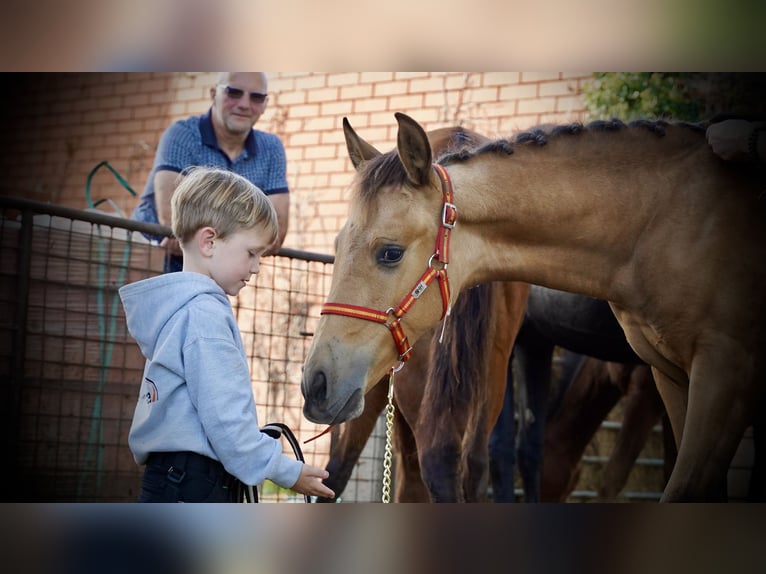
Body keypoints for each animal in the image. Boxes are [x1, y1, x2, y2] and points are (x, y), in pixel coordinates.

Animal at [304, 113, 766, 504]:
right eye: (336, 246)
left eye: (390, 252)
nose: (316, 382)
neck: (662, 219)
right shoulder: (669, 377)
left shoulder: (722, 372)